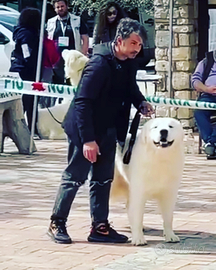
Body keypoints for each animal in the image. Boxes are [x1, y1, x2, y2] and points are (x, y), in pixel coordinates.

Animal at [111, 117, 184, 246]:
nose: (163, 131)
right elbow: (137, 215)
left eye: (170, 126)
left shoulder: (169, 193)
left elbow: (168, 217)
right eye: (155, 127)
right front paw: (138, 239)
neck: (160, 158)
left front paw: (170, 235)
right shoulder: (139, 192)